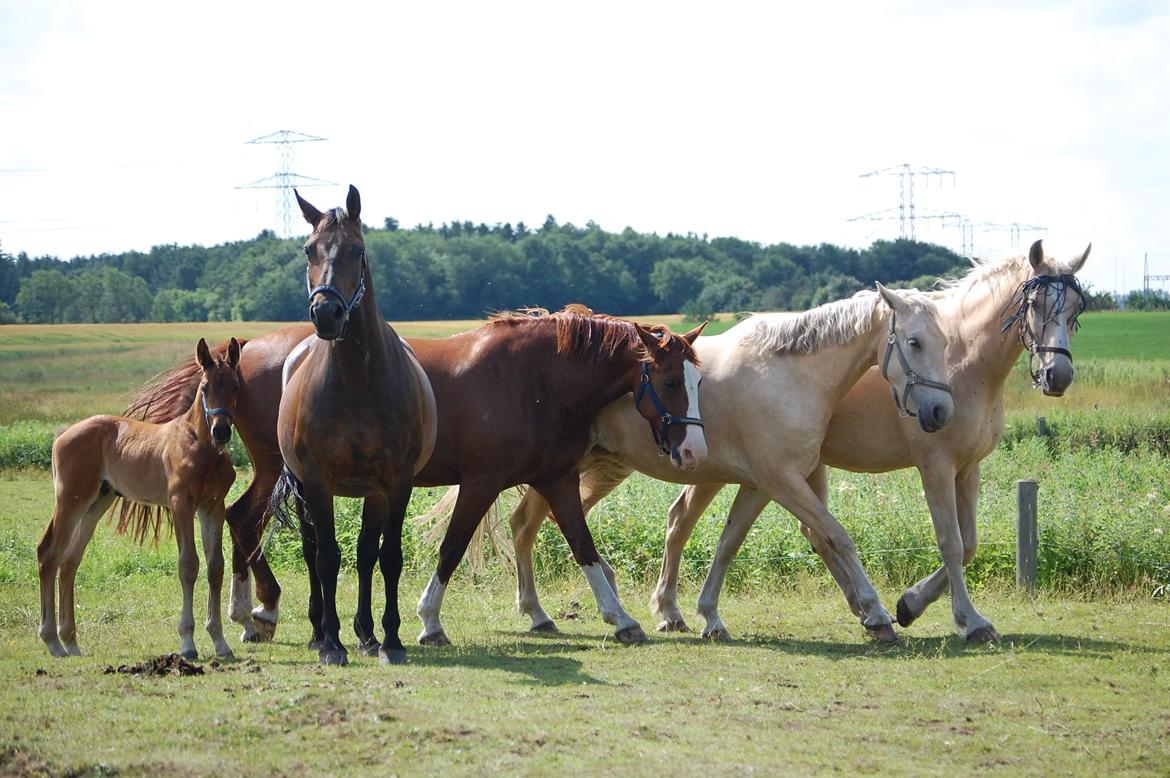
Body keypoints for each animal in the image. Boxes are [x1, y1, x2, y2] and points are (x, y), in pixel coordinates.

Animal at [37, 336, 242, 659]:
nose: (220, 430)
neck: (200, 446)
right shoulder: (181, 504)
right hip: (71, 500)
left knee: (69, 562)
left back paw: (70, 641)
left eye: (235, 386)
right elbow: (188, 565)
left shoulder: (213, 507)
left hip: (97, 503)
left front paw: (220, 642)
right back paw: (53, 642)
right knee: (49, 554)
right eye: (205, 387)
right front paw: (187, 642)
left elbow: (215, 566)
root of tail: (64, 433)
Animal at [133, 308, 706, 650]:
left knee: (240, 518)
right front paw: (429, 619)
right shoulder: (481, 483)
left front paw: (621, 618)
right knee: (244, 519)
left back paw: (255, 610)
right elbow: (451, 548)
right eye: (670, 381)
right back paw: (255, 609)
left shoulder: (557, 480)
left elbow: (584, 547)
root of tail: (245, 352)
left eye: (697, 380)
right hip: (281, 469)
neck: (536, 379)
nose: (693, 451)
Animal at [271, 184, 437, 664]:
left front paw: (391, 640)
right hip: (304, 488)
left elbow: (387, 556)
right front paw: (331, 643)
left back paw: (367, 634)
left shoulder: (396, 482)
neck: (357, 384)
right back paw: (319, 631)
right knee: (312, 550)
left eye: (357, 250)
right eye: (308, 249)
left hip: (373, 492)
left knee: (366, 554)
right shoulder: (317, 481)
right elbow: (327, 557)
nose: (326, 313)